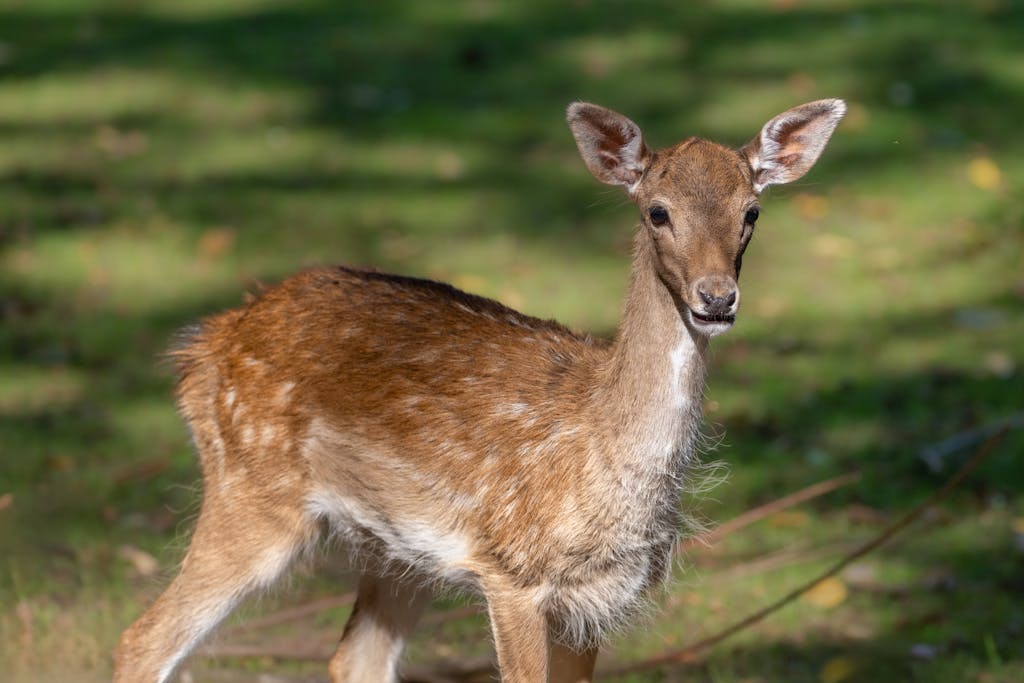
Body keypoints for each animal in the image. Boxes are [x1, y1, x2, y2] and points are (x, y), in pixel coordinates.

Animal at [113, 98, 845, 682]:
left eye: (751, 212)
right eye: (657, 211)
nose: (716, 298)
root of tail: (205, 347)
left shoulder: (599, 598)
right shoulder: (514, 572)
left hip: (396, 548)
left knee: (353, 657)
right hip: (254, 491)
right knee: (141, 639)